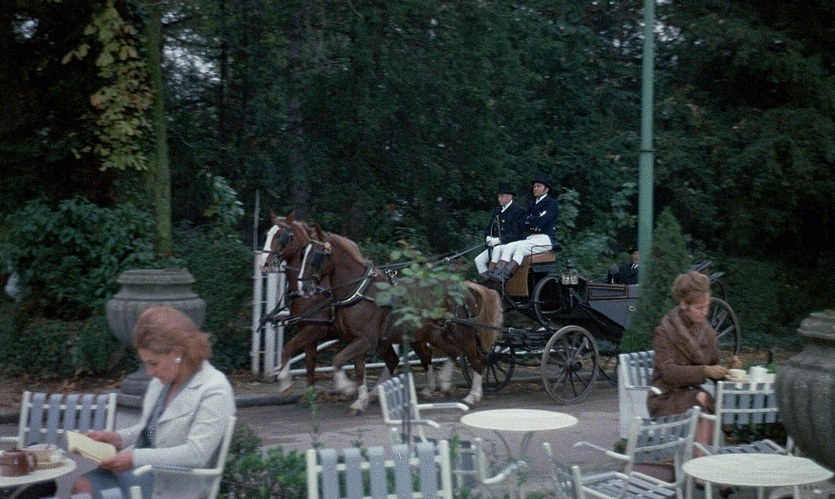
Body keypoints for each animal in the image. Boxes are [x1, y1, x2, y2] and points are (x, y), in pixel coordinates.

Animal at [268, 212, 503, 412]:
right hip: (431, 333)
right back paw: (436, 384)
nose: (304, 287)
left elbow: (335, 360)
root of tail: (464, 286)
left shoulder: (358, 338)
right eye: (302, 253)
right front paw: (358, 398)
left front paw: (344, 388)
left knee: (476, 358)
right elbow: (353, 367)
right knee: (445, 353)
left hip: (461, 331)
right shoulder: (353, 338)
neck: (358, 289)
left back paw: (472, 395)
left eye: (316, 255)